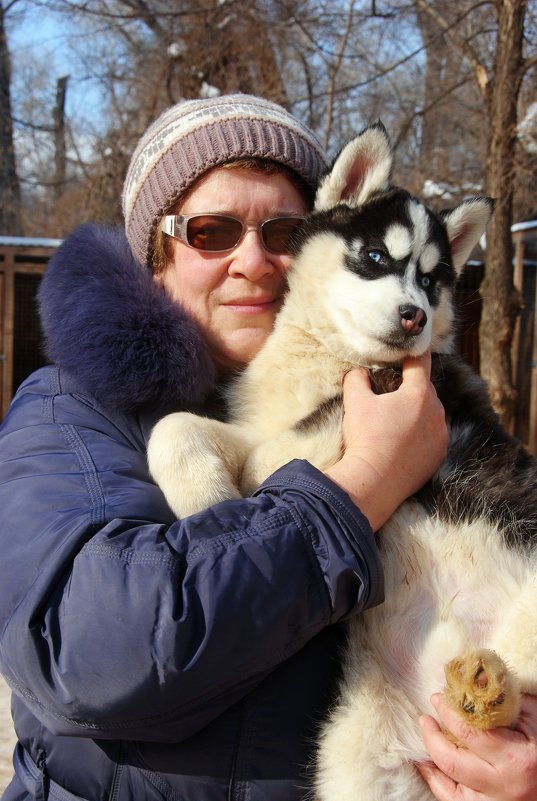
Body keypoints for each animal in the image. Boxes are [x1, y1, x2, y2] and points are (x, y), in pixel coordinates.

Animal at [147, 123, 536, 800]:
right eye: (376, 257)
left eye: (432, 281)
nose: (415, 315)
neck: (330, 360)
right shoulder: (260, 429)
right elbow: (176, 428)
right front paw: (207, 496)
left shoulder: (368, 410)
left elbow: (278, 453)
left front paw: (228, 495)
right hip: (357, 758)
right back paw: (478, 694)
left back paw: (489, 687)